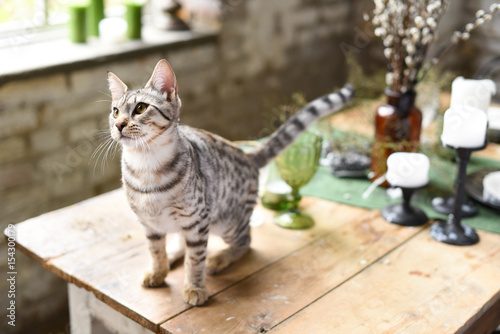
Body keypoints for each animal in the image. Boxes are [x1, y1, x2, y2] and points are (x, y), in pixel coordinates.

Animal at [107, 59, 354, 306]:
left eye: (140, 108)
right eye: (115, 111)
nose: (119, 125)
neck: (146, 166)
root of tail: (247, 155)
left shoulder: (198, 220)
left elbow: (195, 260)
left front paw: (195, 287)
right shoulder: (149, 224)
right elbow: (156, 252)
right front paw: (158, 272)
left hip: (226, 223)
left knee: (245, 241)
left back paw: (219, 258)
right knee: (180, 241)